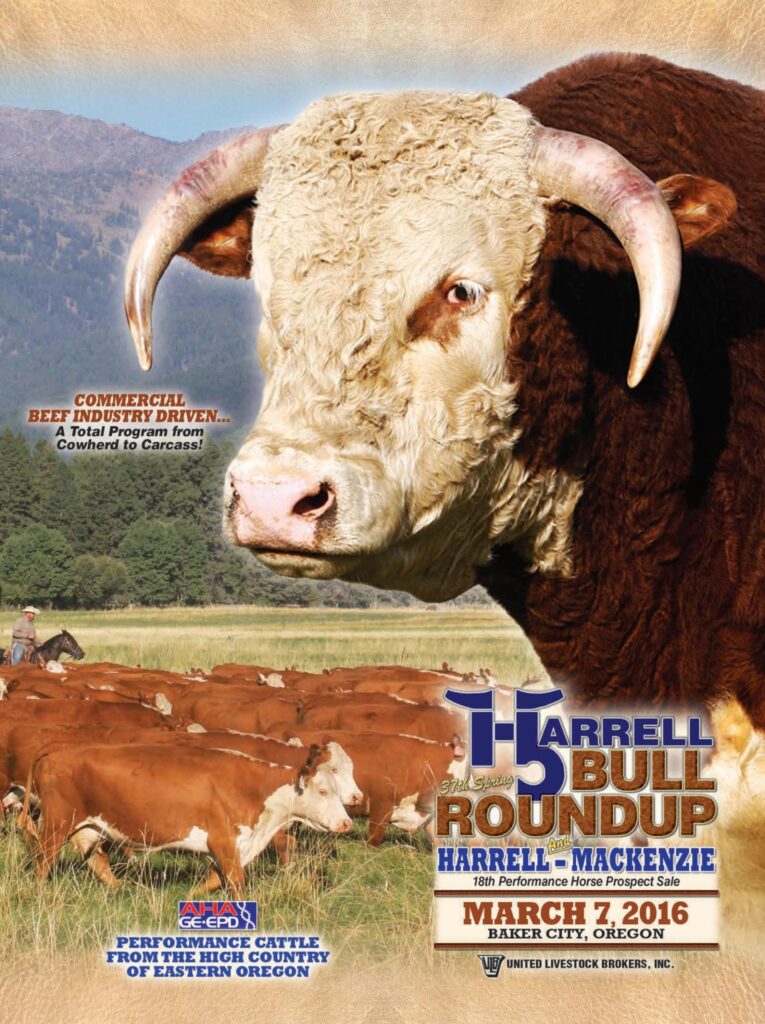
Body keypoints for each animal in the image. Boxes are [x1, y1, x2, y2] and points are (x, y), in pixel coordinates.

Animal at [23, 742, 353, 898]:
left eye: (338, 790)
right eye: (323, 791)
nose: (346, 823)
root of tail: (55, 753)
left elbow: (214, 880)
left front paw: (190, 894)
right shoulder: (224, 841)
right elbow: (235, 881)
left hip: (89, 827)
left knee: (96, 860)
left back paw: (123, 888)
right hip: (56, 824)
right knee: (43, 860)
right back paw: (39, 892)